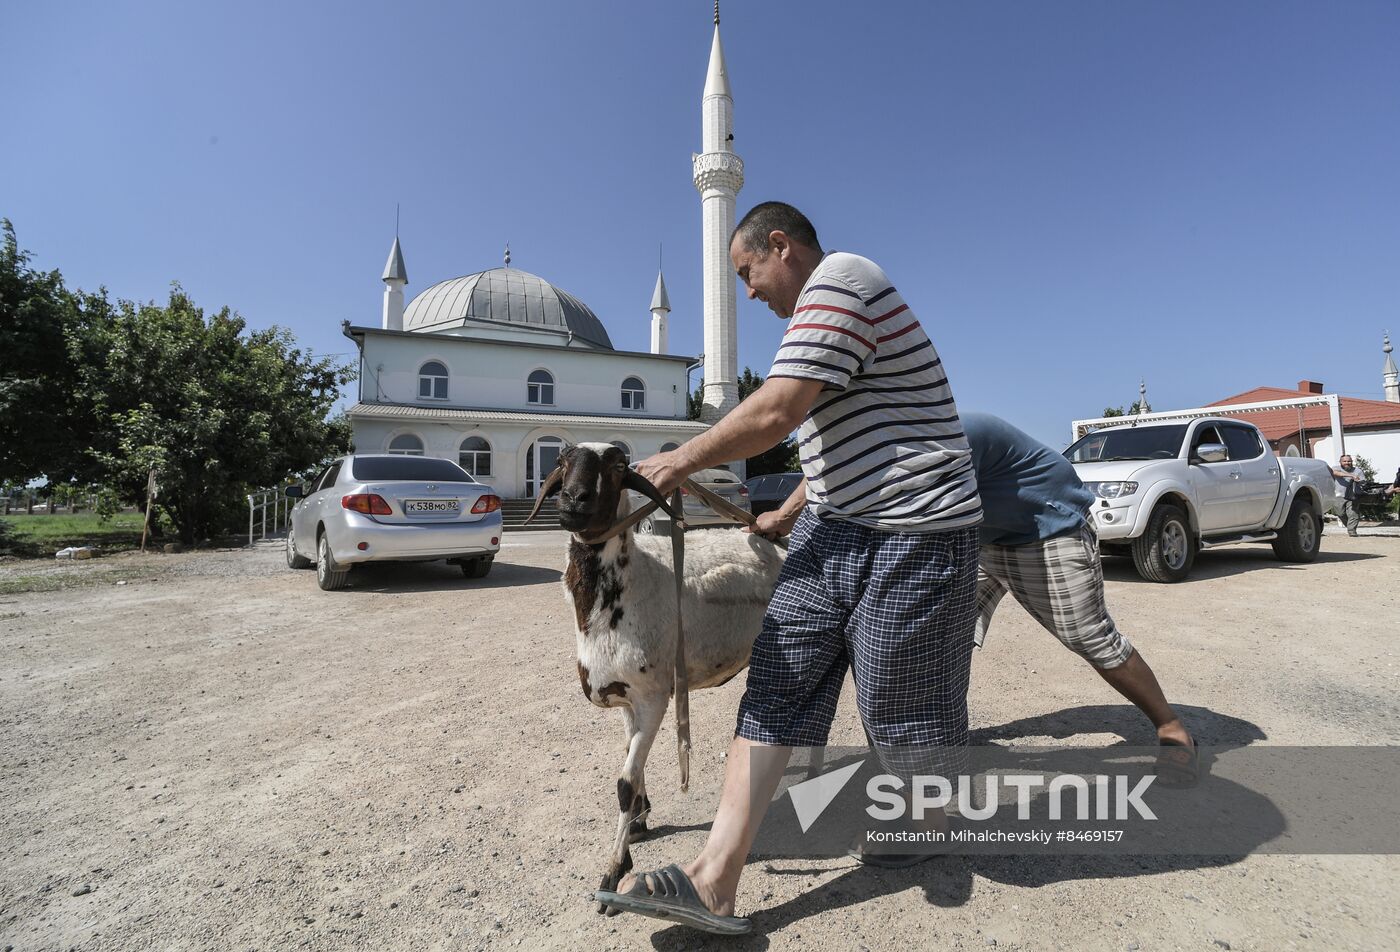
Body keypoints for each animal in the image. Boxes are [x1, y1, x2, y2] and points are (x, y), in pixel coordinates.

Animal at [526, 442, 789, 912]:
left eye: (618, 466)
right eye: (561, 461)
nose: (573, 500)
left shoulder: (654, 697)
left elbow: (624, 783)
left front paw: (613, 873)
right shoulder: (628, 698)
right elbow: (632, 760)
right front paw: (638, 822)